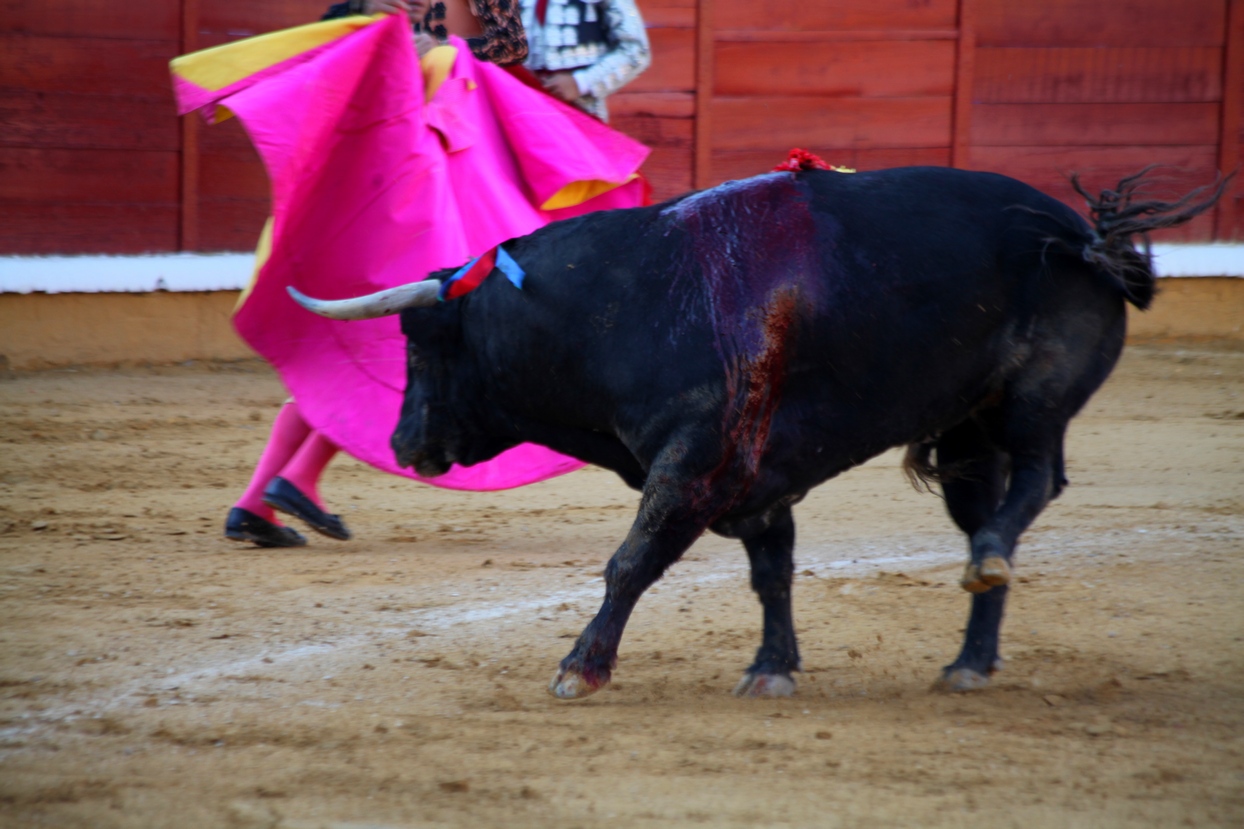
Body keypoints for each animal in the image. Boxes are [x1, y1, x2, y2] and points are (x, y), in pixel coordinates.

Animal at [293, 164, 1224, 692]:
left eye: (421, 339)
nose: (402, 444)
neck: (618, 304)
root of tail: (1079, 235)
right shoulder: (757, 476)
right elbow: (771, 571)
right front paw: (772, 668)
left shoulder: (695, 462)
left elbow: (630, 559)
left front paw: (580, 667)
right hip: (965, 436)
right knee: (986, 515)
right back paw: (969, 659)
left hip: (1032, 398)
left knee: (1033, 482)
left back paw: (989, 567)